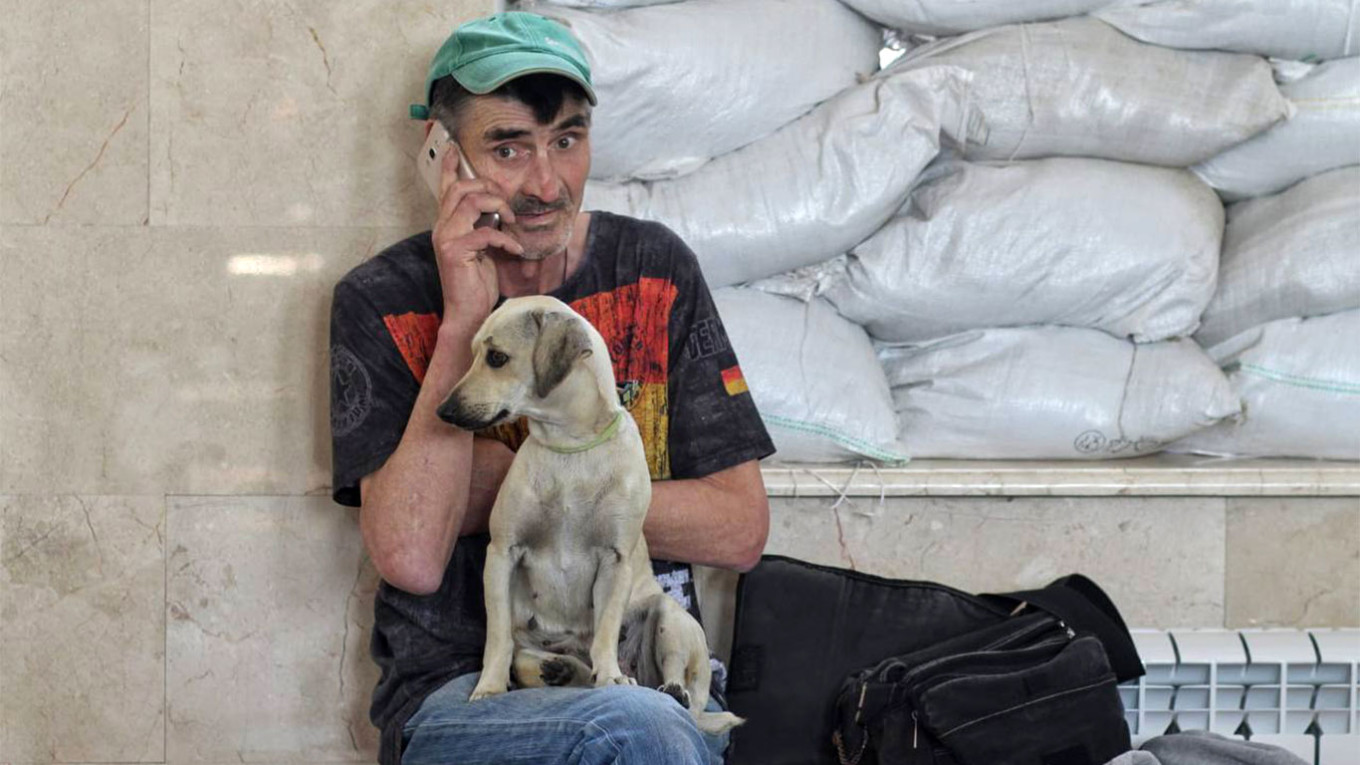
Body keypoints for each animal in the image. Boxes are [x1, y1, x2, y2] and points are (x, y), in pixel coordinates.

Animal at [437, 292, 745, 735]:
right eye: (473, 352)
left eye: (496, 357)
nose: (442, 411)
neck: (570, 447)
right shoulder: (501, 553)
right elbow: (496, 639)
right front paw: (489, 688)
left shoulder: (615, 561)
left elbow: (605, 631)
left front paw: (611, 674)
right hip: (532, 647)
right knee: (536, 662)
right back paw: (563, 670)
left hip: (671, 618)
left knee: (684, 685)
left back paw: (666, 688)